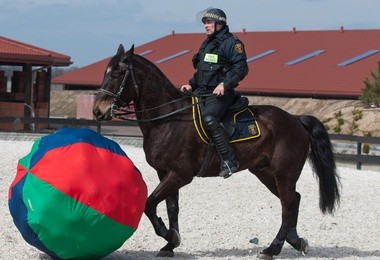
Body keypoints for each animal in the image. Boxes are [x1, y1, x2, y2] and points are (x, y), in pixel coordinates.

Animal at [93, 44, 342, 258]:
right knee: (293, 200)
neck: (168, 119)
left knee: (288, 206)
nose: (98, 110)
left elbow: (150, 204)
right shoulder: (165, 173)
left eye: (117, 74)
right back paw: (296, 242)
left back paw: (273, 248)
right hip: (264, 172)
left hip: (284, 174)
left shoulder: (180, 175)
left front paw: (170, 236)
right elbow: (172, 208)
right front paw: (170, 244)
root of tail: (296, 120)